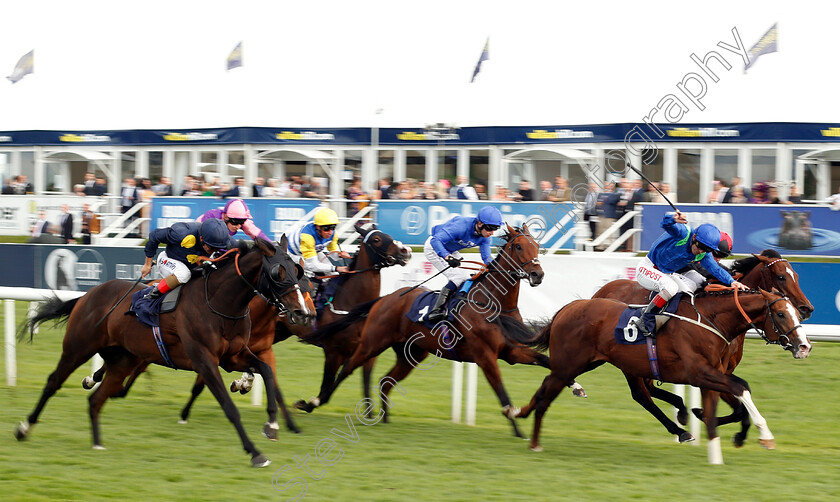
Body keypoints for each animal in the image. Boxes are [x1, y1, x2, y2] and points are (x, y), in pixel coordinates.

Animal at [14, 237, 308, 468]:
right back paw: (24, 428)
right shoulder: (204, 361)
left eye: (298, 270)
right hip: (78, 347)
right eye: (278, 273)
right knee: (53, 382)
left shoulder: (232, 357)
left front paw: (272, 426)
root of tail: (88, 294)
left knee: (96, 399)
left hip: (122, 360)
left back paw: (97, 443)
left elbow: (266, 371)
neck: (220, 303)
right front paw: (256, 454)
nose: (302, 312)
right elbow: (229, 407)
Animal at [302, 226, 552, 438]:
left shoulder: (511, 352)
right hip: (372, 343)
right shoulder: (485, 356)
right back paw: (313, 402)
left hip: (411, 354)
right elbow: (502, 393)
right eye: (518, 246)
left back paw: (383, 419)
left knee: (384, 381)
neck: (491, 303)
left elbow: (547, 362)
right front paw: (518, 429)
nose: (538, 274)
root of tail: (385, 298)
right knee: (347, 369)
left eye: (536, 245)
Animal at [516, 286, 812, 462]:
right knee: (550, 394)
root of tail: (567, 308)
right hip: (572, 363)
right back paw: (534, 442)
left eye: (796, 313)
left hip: (592, 363)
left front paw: (705, 425)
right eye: (781, 314)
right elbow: (742, 387)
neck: (711, 320)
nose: (804, 347)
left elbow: (732, 399)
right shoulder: (699, 372)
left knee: (549, 384)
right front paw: (766, 436)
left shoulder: (713, 373)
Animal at [592, 251, 812, 444]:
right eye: (781, 277)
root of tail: (599, 293)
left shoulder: (721, 369)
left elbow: (737, 406)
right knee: (641, 394)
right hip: (628, 361)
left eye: (797, 276)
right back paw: (681, 427)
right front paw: (708, 418)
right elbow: (737, 402)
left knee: (649, 387)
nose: (806, 308)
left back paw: (681, 410)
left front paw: (720, 424)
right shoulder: (707, 369)